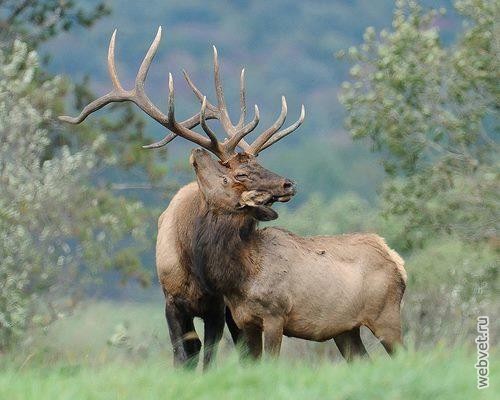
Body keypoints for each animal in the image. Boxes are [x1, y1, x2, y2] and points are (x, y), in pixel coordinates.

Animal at [59, 26, 304, 368]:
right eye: (240, 174)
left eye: (259, 163)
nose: (287, 184)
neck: (194, 265)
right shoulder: (171, 301)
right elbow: (182, 354)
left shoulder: (218, 305)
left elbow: (209, 357)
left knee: (243, 348)